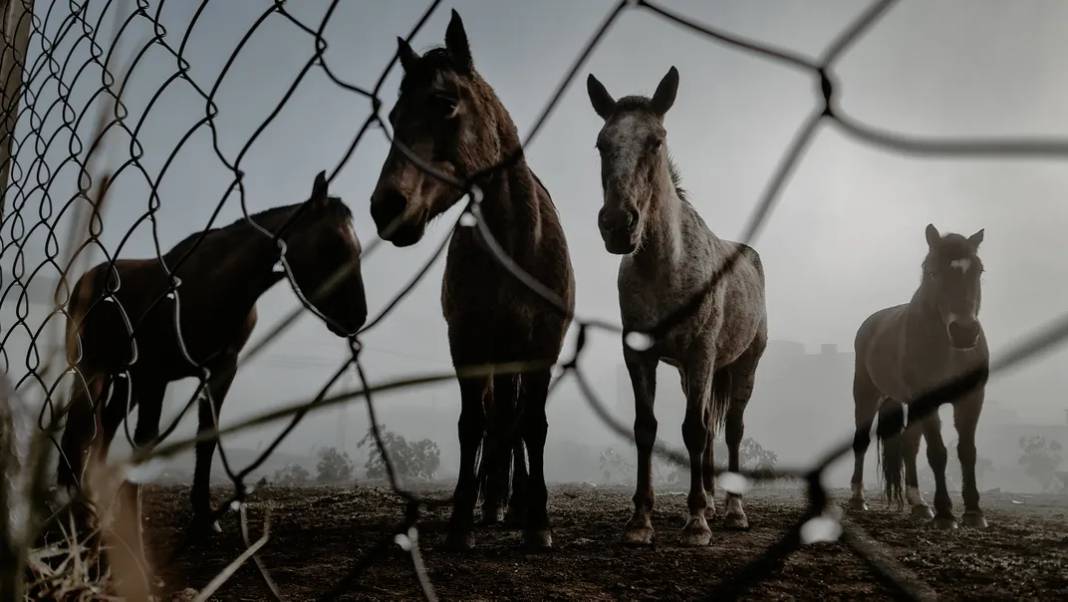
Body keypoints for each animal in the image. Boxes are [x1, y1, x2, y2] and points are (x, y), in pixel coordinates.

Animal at [58, 171, 367, 525]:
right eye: (332, 244)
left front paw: (203, 509)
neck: (215, 284)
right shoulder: (156, 375)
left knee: (104, 427)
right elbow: (144, 441)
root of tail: (86, 278)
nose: (357, 317)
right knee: (81, 429)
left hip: (126, 378)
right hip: (93, 369)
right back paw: (81, 505)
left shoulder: (220, 370)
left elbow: (207, 436)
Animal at [375, 10, 576, 550]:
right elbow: (473, 425)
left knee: (515, 423)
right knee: (495, 421)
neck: (515, 244)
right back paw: (495, 503)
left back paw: (515, 502)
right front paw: (462, 521)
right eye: (393, 117)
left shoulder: (543, 344)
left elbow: (533, 426)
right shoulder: (466, 341)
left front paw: (538, 523)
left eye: (444, 103)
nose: (386, 207)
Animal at [585, 66, 768, 546]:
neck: (664, 266)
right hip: (690, 374)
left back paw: (732, 511)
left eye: (656, 140)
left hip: (741, 365)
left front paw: (698, 522)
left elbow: (695, 430)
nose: (618, 225)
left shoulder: (702, 354)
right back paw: (708, 502)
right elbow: (646, 429)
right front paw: (640, 521)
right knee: (705, 427)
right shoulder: (640, 355)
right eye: (602, 143)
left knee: (730, 430)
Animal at [850, 224, 991, 527]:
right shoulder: (927, 400)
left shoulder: (971, 399)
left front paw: (974, 512)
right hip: (866, 394)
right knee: (862, 441)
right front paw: (946, 514)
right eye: (933, 272)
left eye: (978, 271)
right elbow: (937, 453)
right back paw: (858, 498)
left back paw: (918, 504)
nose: (964, 332)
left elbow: (967, 451)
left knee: (908, 445)